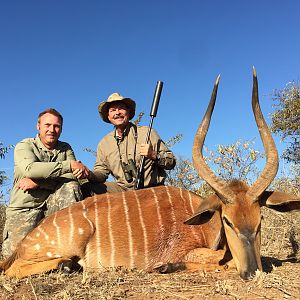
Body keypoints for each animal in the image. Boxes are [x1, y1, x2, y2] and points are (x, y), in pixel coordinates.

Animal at [0, 68, 300, 278]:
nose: (252, 272)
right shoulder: (191, 250)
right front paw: (165, 267)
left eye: (260, 220)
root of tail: (26, 241)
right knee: (14, 270)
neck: (204, 222)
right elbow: (218, 262)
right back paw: (66, 266)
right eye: (228, 221)